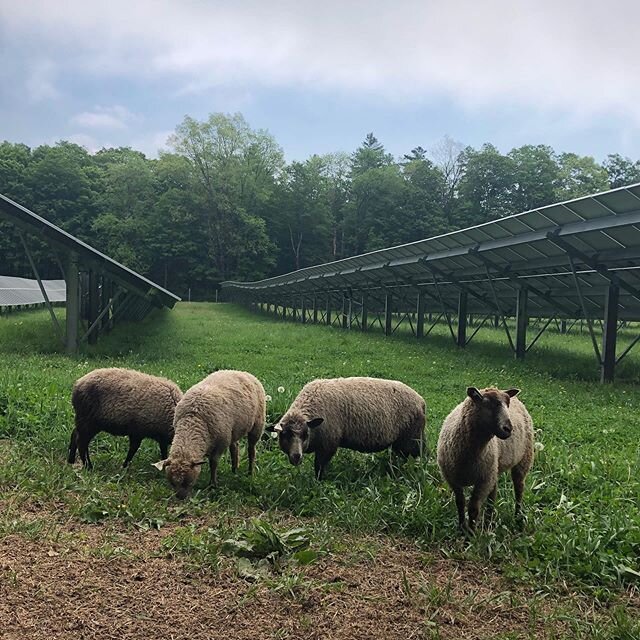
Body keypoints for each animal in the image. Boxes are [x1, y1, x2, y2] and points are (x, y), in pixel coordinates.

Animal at [154, 370, 266, 500]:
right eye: (172, 483)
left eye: (189, 482)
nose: (180, 498)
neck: (194, 420)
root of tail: (242, 372)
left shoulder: (221, 443)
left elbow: (213, 463)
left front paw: (212, 485)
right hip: (233, 430)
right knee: (234, 448)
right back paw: (234, 470)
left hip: (257, 425)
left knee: (251, 450)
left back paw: (250, 472)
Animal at [274, 376, 428, 480]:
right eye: (284, 435)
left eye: (305, 434)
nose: (296, 457)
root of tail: (421, 401)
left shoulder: (328, 444)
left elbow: (319, 467)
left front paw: (318, 482)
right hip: (401, 442)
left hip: (413, 438)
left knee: (420, 455)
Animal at [436, 384, 536, 528]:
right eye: (488, 404)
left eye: (508, 404)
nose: (508, 429)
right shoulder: (452, 479)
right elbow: (460, 503)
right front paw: (461, 527)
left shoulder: (483, 481)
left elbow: (473, 509)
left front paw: (471, 532)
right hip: (494, 468)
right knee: (493, 494)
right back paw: (489, 520)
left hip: (523, 460)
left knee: (519, 489)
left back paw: (517, 516)